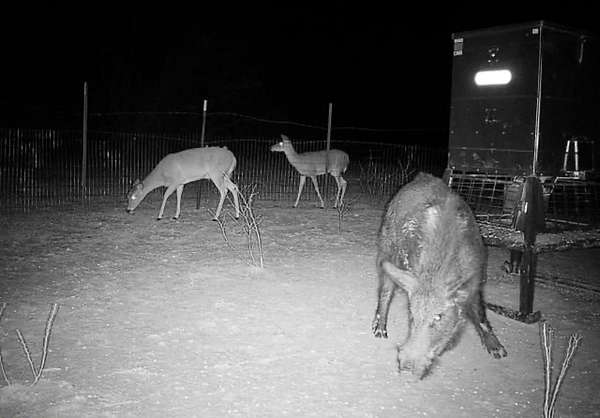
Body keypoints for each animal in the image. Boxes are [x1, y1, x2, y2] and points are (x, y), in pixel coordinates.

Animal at [372, 172, 507, 379]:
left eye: (439, 317)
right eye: (412, 315)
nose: (406, 367)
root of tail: (422, 176)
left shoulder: (476, 279)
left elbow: (480, 313)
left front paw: (499, 353)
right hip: (387, 248)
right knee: (386, 289)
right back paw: (379, 332)